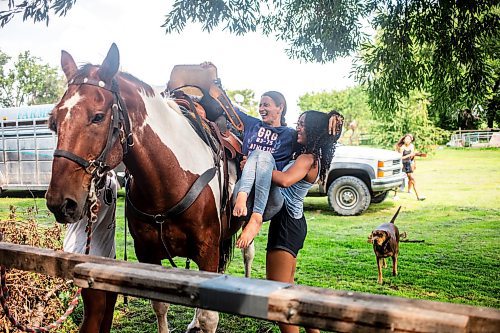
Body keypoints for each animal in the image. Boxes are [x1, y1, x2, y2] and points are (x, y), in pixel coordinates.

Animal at [44, 44, 243, 332]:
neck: (168, 183)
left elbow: (210, 317)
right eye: (53, 121)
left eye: (98, 116)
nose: (60, 202)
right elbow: (160, 307)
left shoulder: (208, 250)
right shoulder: (147, 255)